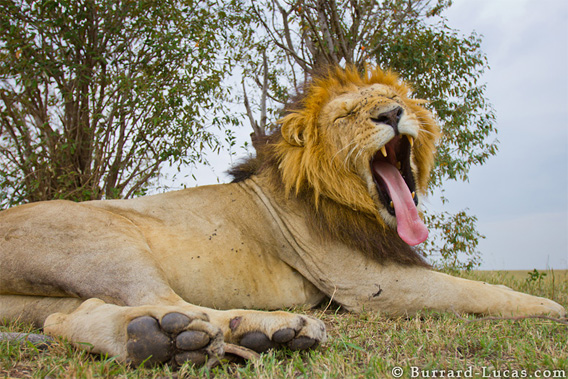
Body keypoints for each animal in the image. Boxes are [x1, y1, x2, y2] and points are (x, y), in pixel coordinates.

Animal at [0, 66, 564, 368]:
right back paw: (261, 331)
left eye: (393, 99)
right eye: (349, 115)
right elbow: (480, 290)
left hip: (40, 299)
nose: (391, 115)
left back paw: (153, 339)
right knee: (175, 305)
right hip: (102, 239)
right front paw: (550, 307)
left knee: (62, 318)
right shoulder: (371, 285)